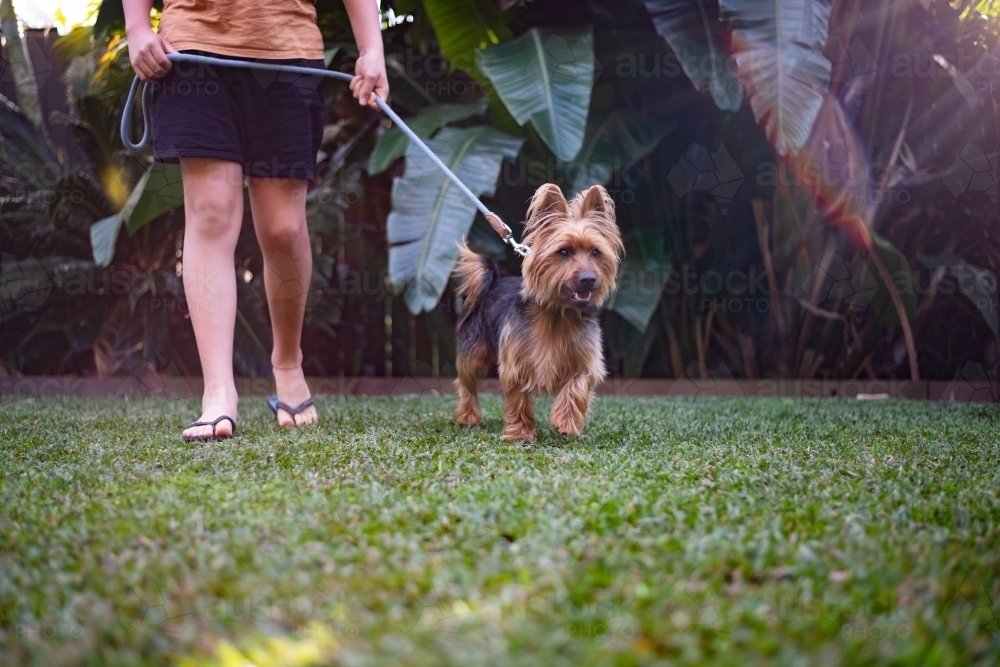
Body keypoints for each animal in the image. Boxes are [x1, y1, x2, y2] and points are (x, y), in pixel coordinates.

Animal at [456, 185, 624, 440]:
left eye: (595, 252)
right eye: (564, 252)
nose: (588, 279)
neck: (558, 313)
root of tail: (493, 283)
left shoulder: (586, 362)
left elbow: (577, 385)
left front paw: (565, 421)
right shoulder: (515, 363)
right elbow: (518, 399)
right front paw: (519, 434)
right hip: (474, 352)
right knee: (466, 383)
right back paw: (468, 416)